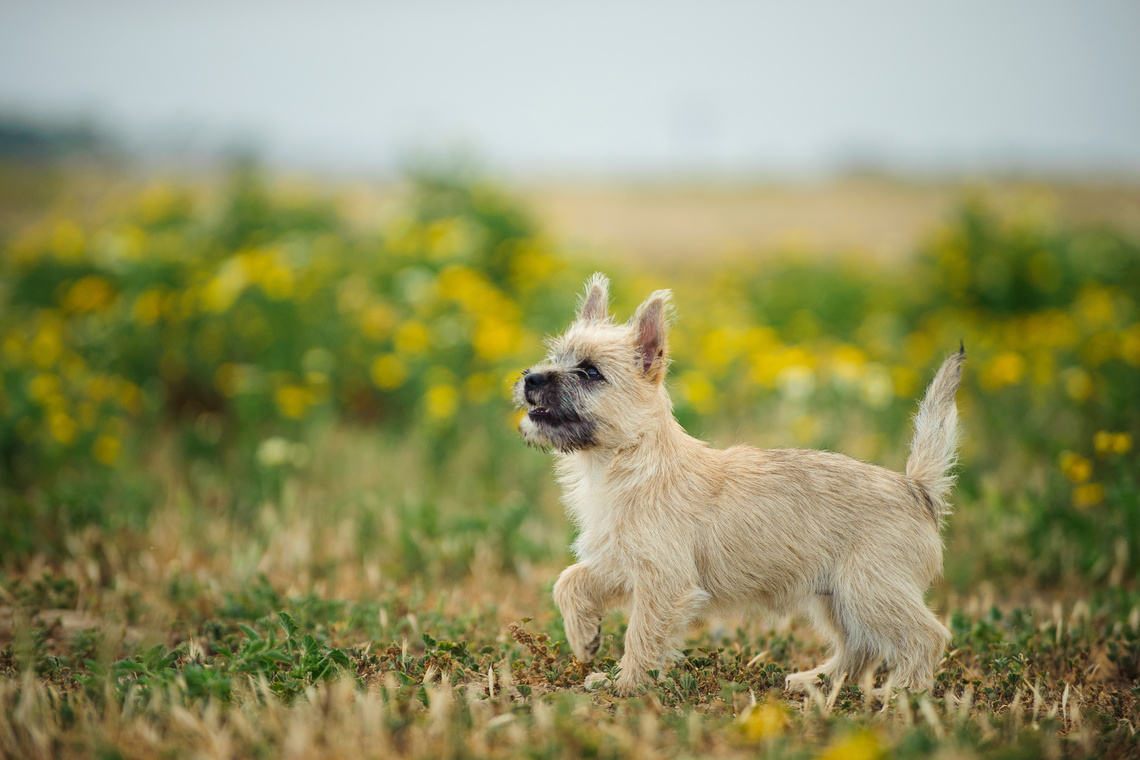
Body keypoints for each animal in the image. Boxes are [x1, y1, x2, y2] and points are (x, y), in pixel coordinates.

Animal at [515, 272, 962, 697]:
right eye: (556, 358)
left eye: (590, 372)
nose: (531, 378)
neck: (624, 461)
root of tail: (916, 487)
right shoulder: (621, 562)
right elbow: (570, 580)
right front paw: (584, 637)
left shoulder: (663, 581)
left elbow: (641, 635)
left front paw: (626, 684)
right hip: (838, 597)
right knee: (860, 647)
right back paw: (819, 681)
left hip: (869, 590)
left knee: (926, 636)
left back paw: (904, 693)